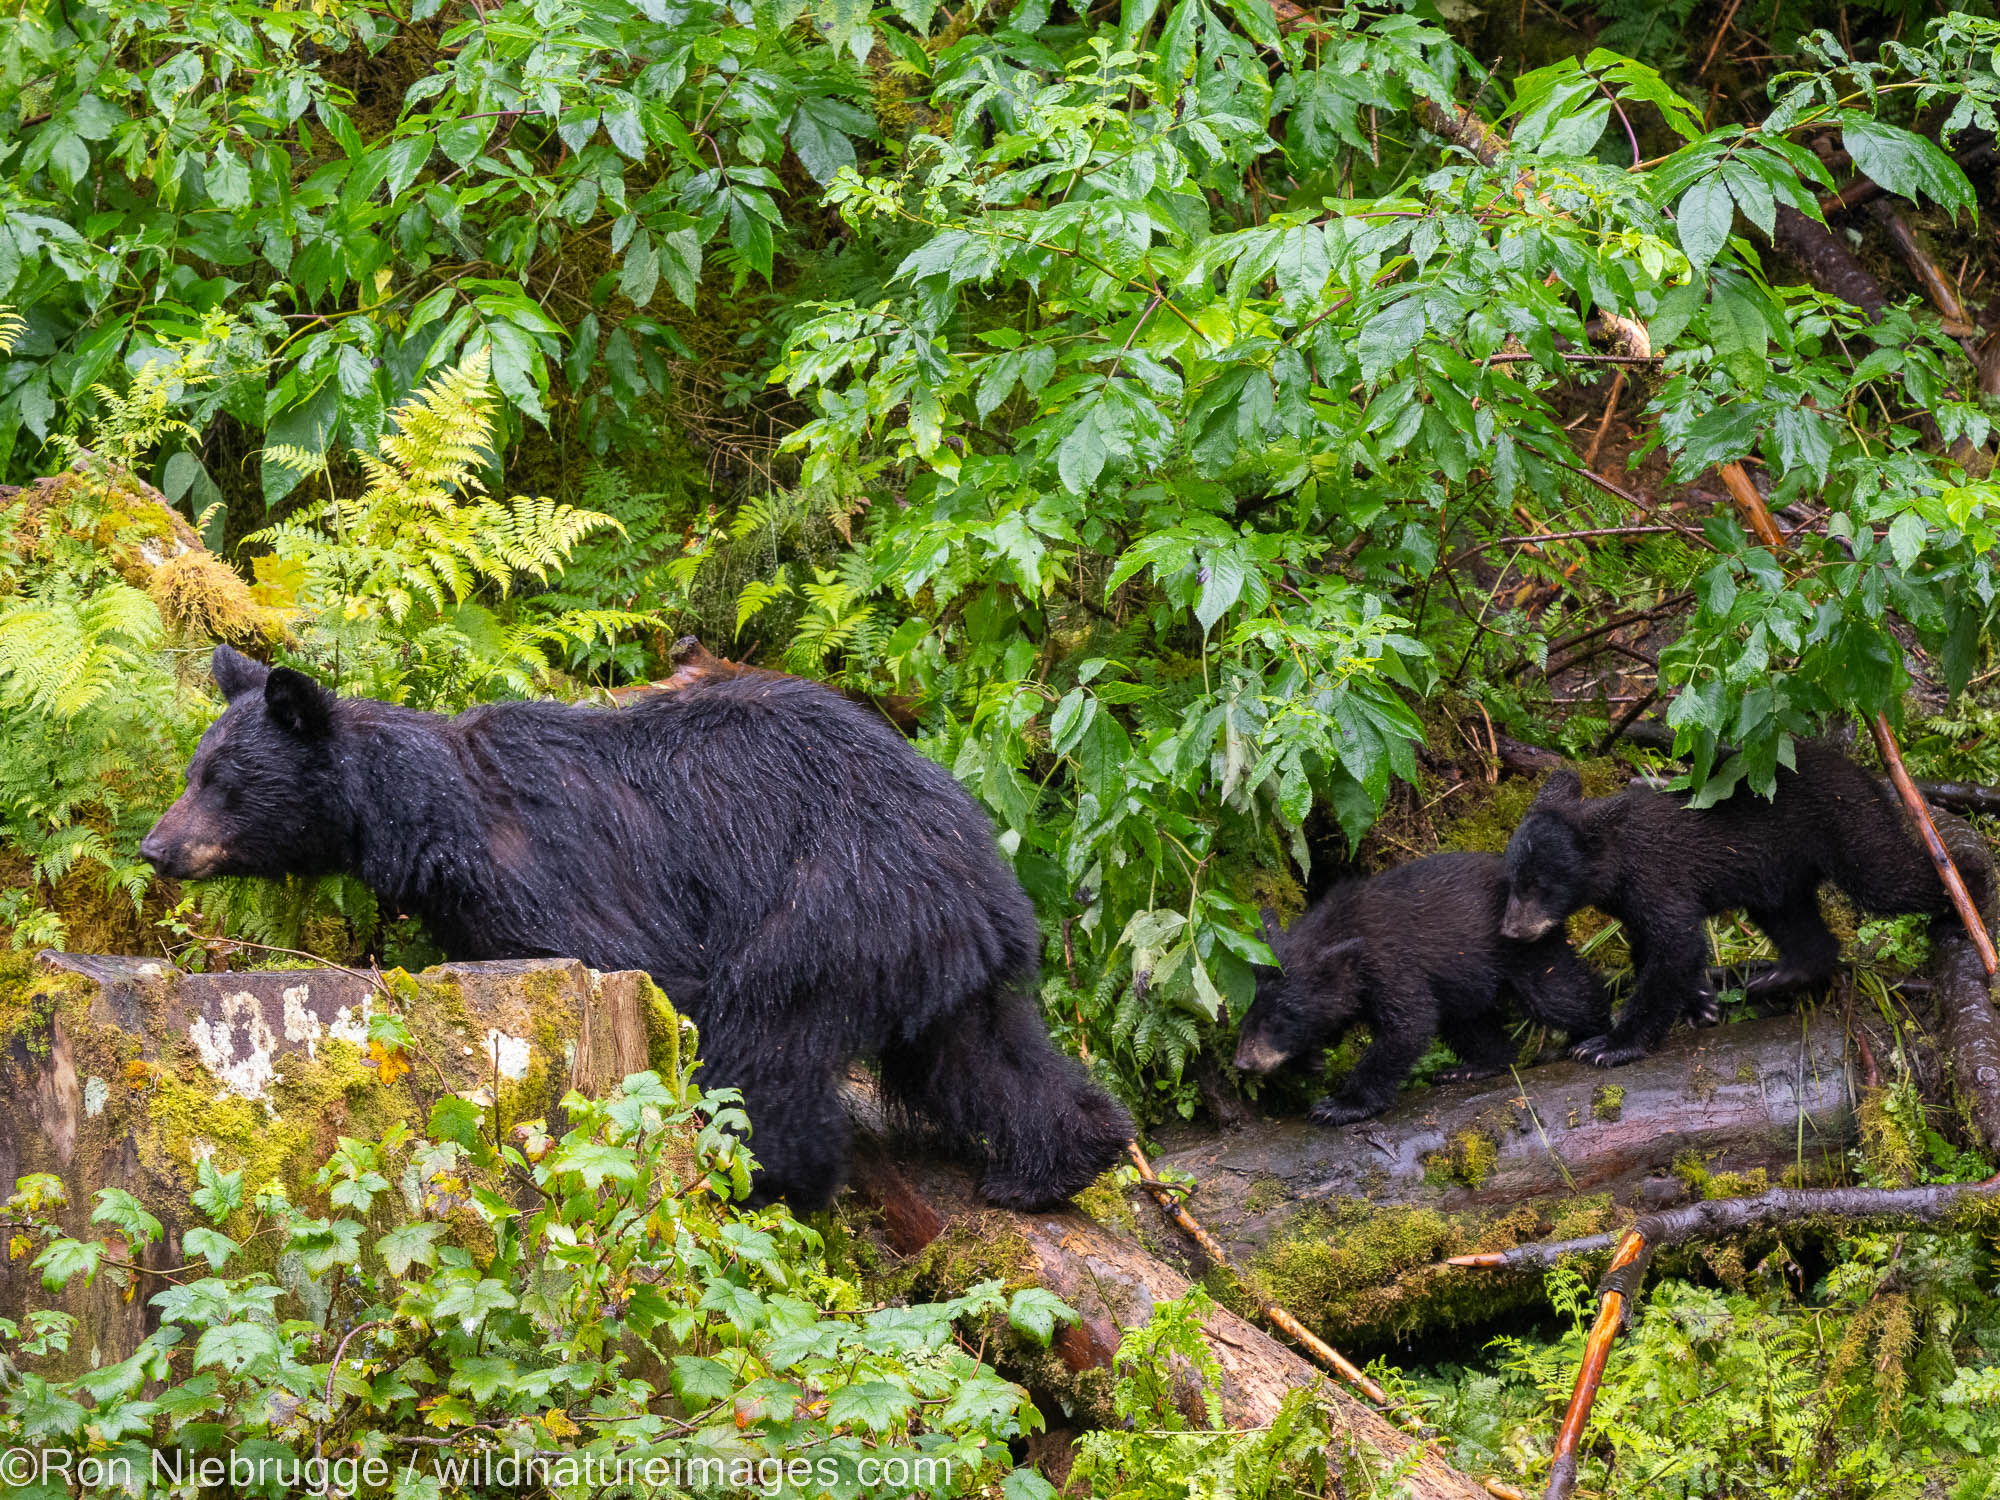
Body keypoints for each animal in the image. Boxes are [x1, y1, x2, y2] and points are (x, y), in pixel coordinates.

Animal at [143, 644, 1136, 1208]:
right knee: (983, 1057)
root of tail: (981, 877)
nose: (155, 847)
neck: (431, 820)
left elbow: (632, 967)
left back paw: (771, 1178)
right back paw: (1051, 1167)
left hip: (827, 908)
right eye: (196, 769)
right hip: (928, 950)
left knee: (765, 1044)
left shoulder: (557, 875)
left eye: (222, 782)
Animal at [1232, 856, 1608, 1128]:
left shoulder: (1392, 966)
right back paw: (1472, 1066)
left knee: (1560, 995)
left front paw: (1339, 1105)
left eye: (1279, 1018)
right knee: (1470, 1024)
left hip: (1526, 949)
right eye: (1246, 1014)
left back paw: (1596, 1039)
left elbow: (1408, 1026)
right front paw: (1310, 1059)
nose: (1243, 1061)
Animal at [1504, 744, 1992, 1072]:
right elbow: (1654, 947)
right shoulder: (1635, 900)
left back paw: (1970, 896)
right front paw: (1701, 1001)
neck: (1616, 860)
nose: (1510, 930)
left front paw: (1607, 1044)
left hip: (1848, 827)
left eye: (1537, 885)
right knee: (1799, 925)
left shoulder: (1656, 877)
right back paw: (1774, 977)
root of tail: (1868, 775)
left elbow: (1675, 945)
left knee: (1889, 876)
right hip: (1779, 875)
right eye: (1512, 880)